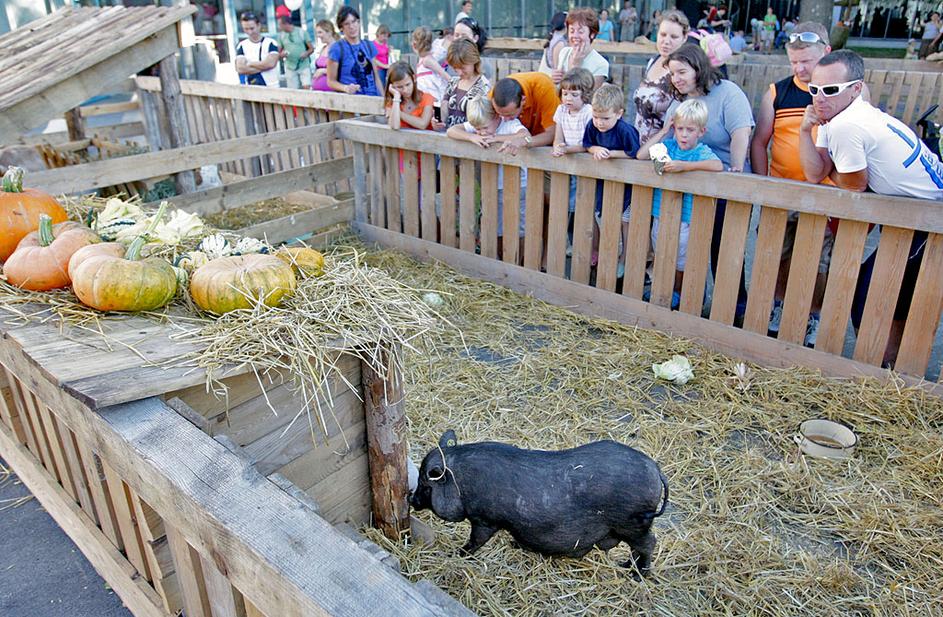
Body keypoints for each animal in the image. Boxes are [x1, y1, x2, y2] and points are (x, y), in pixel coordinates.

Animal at [410, 434, 668, 572]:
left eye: (425, 484)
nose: (410, 498)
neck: (462, 482)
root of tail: (655, 470)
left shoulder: (485, 519)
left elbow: (476, 540)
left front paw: (457, 554)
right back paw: (626, 566)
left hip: (632, 524)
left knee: (649, 543)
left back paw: (635, 573)